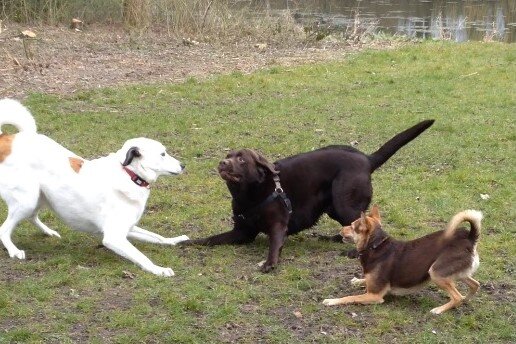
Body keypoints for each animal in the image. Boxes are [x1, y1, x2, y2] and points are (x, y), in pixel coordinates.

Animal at [0, 98, 189, 276]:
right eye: (163, 154)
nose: (183, 165)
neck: (129, 173)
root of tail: (6, 139)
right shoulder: (113, 237)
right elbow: (142, 257)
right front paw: (159, 269)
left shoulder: (129, 228)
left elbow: (157, 237)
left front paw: (174, 240)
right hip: (27, 200)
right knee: (4, 229)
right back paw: (14, 251)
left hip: (38, 197)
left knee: (32, 216)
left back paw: (49, 232)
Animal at [322, 206, 484, 314]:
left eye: (352, 226)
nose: (341, 230)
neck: (375, 246)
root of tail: (469, 238)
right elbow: (364, 280)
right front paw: (357, 280)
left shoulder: (374, 295)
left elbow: (349, 297)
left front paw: (331, 300)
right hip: (456, 273)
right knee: (474, 285)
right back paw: (465, 300)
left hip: (435, 272)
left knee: (456, 296)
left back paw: (439, 309)